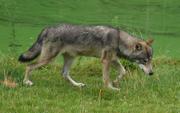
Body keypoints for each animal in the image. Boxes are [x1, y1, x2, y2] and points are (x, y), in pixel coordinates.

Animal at [17, 23, 153, 90]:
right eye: (144, 61)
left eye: (150, 60)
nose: (152, 73)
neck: (119, 39)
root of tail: (47, 28)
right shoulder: (106, 61)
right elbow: (106, 78)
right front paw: (110, 88)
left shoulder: (113, 59)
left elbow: (123, 72)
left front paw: (115, 82)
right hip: (47, 59)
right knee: (29, 66)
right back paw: (26, 82)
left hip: (70, 59)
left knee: (64, 74)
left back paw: (78, 85)